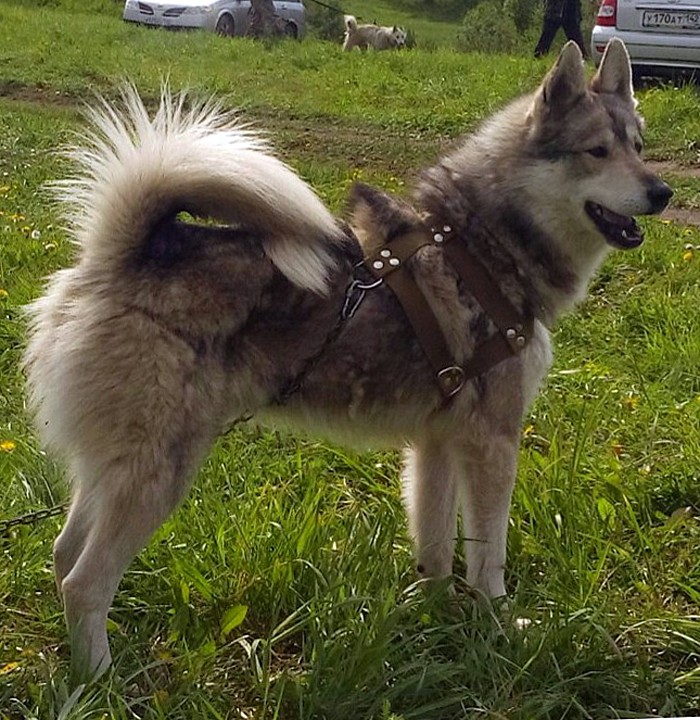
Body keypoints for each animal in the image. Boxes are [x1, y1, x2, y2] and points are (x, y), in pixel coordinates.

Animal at [24, 39, 672, 680]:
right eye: (596, 151)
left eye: (639, 147)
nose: (663, 193)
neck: (485, 245)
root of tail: (120, 256)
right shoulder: (493, 441)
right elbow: (489, 556)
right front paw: (500, 629)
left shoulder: (438, 443)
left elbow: (436, 547)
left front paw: (436, 623)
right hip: (160, 471)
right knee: (85, 582)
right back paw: (102, 682)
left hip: (117, 467)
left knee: (63, 554)